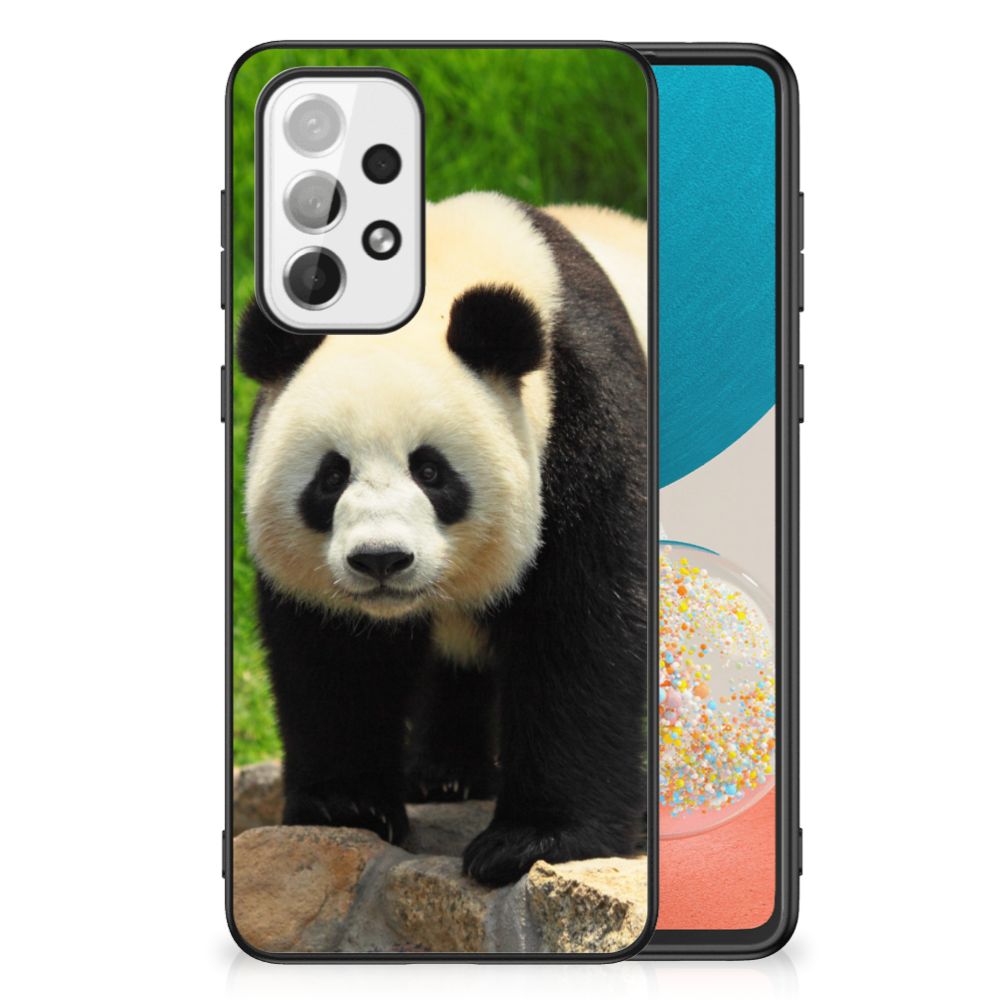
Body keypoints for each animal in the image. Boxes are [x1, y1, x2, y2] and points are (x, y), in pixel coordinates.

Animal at [238, 192, 648, 887]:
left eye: (430, 471)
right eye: (331, 476)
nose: (380, 560)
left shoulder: (586, 419)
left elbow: (585, 626)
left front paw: (532, 840)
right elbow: (333, 653)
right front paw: (348, 806)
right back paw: (445, 776)